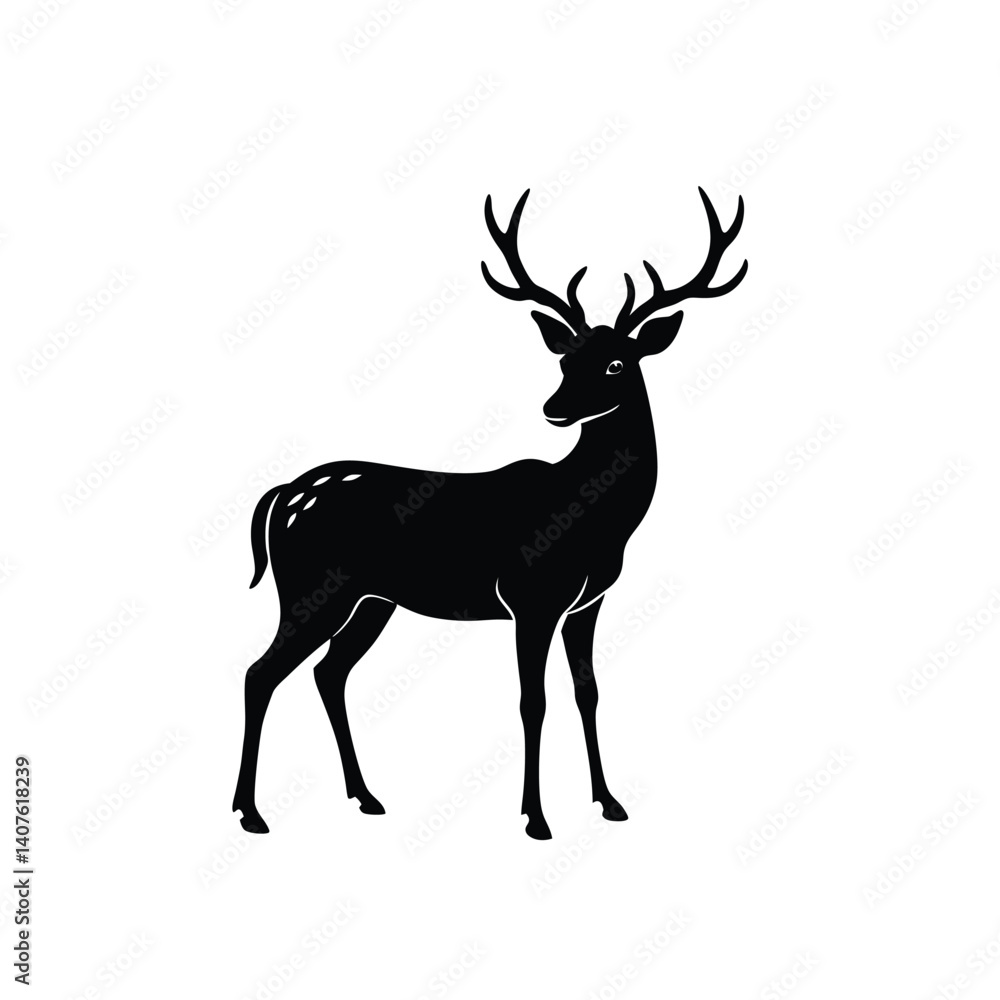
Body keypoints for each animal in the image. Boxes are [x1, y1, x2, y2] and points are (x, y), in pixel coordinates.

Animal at [233, 188, 747, 840]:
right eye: (564, 361)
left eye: (616, 364)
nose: (555, 408)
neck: (600, 522)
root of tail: (283, 493)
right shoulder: (531, 595)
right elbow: (533, 700)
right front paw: (536, 817)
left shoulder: (589, 601)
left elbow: (587, 692)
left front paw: (610, 802)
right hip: (310, 586)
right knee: (261, 672)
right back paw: (250, 812)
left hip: (371, 599)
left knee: (329, 674)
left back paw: (366, 796)